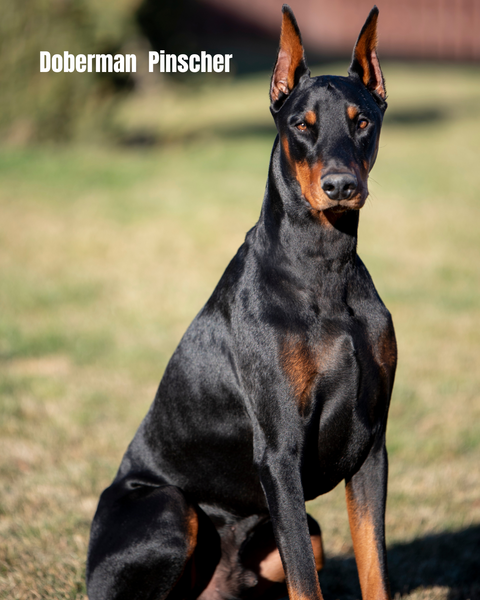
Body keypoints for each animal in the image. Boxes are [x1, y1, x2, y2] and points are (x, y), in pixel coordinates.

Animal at [88, 5, 396, 600]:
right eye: (303, 124)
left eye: (362, 121)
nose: (341, 186)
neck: (324, 268)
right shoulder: (279, 454)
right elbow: (306, 583)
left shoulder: (372, 445)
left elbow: (374, 568)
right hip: (169, 508)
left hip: (301, 535)